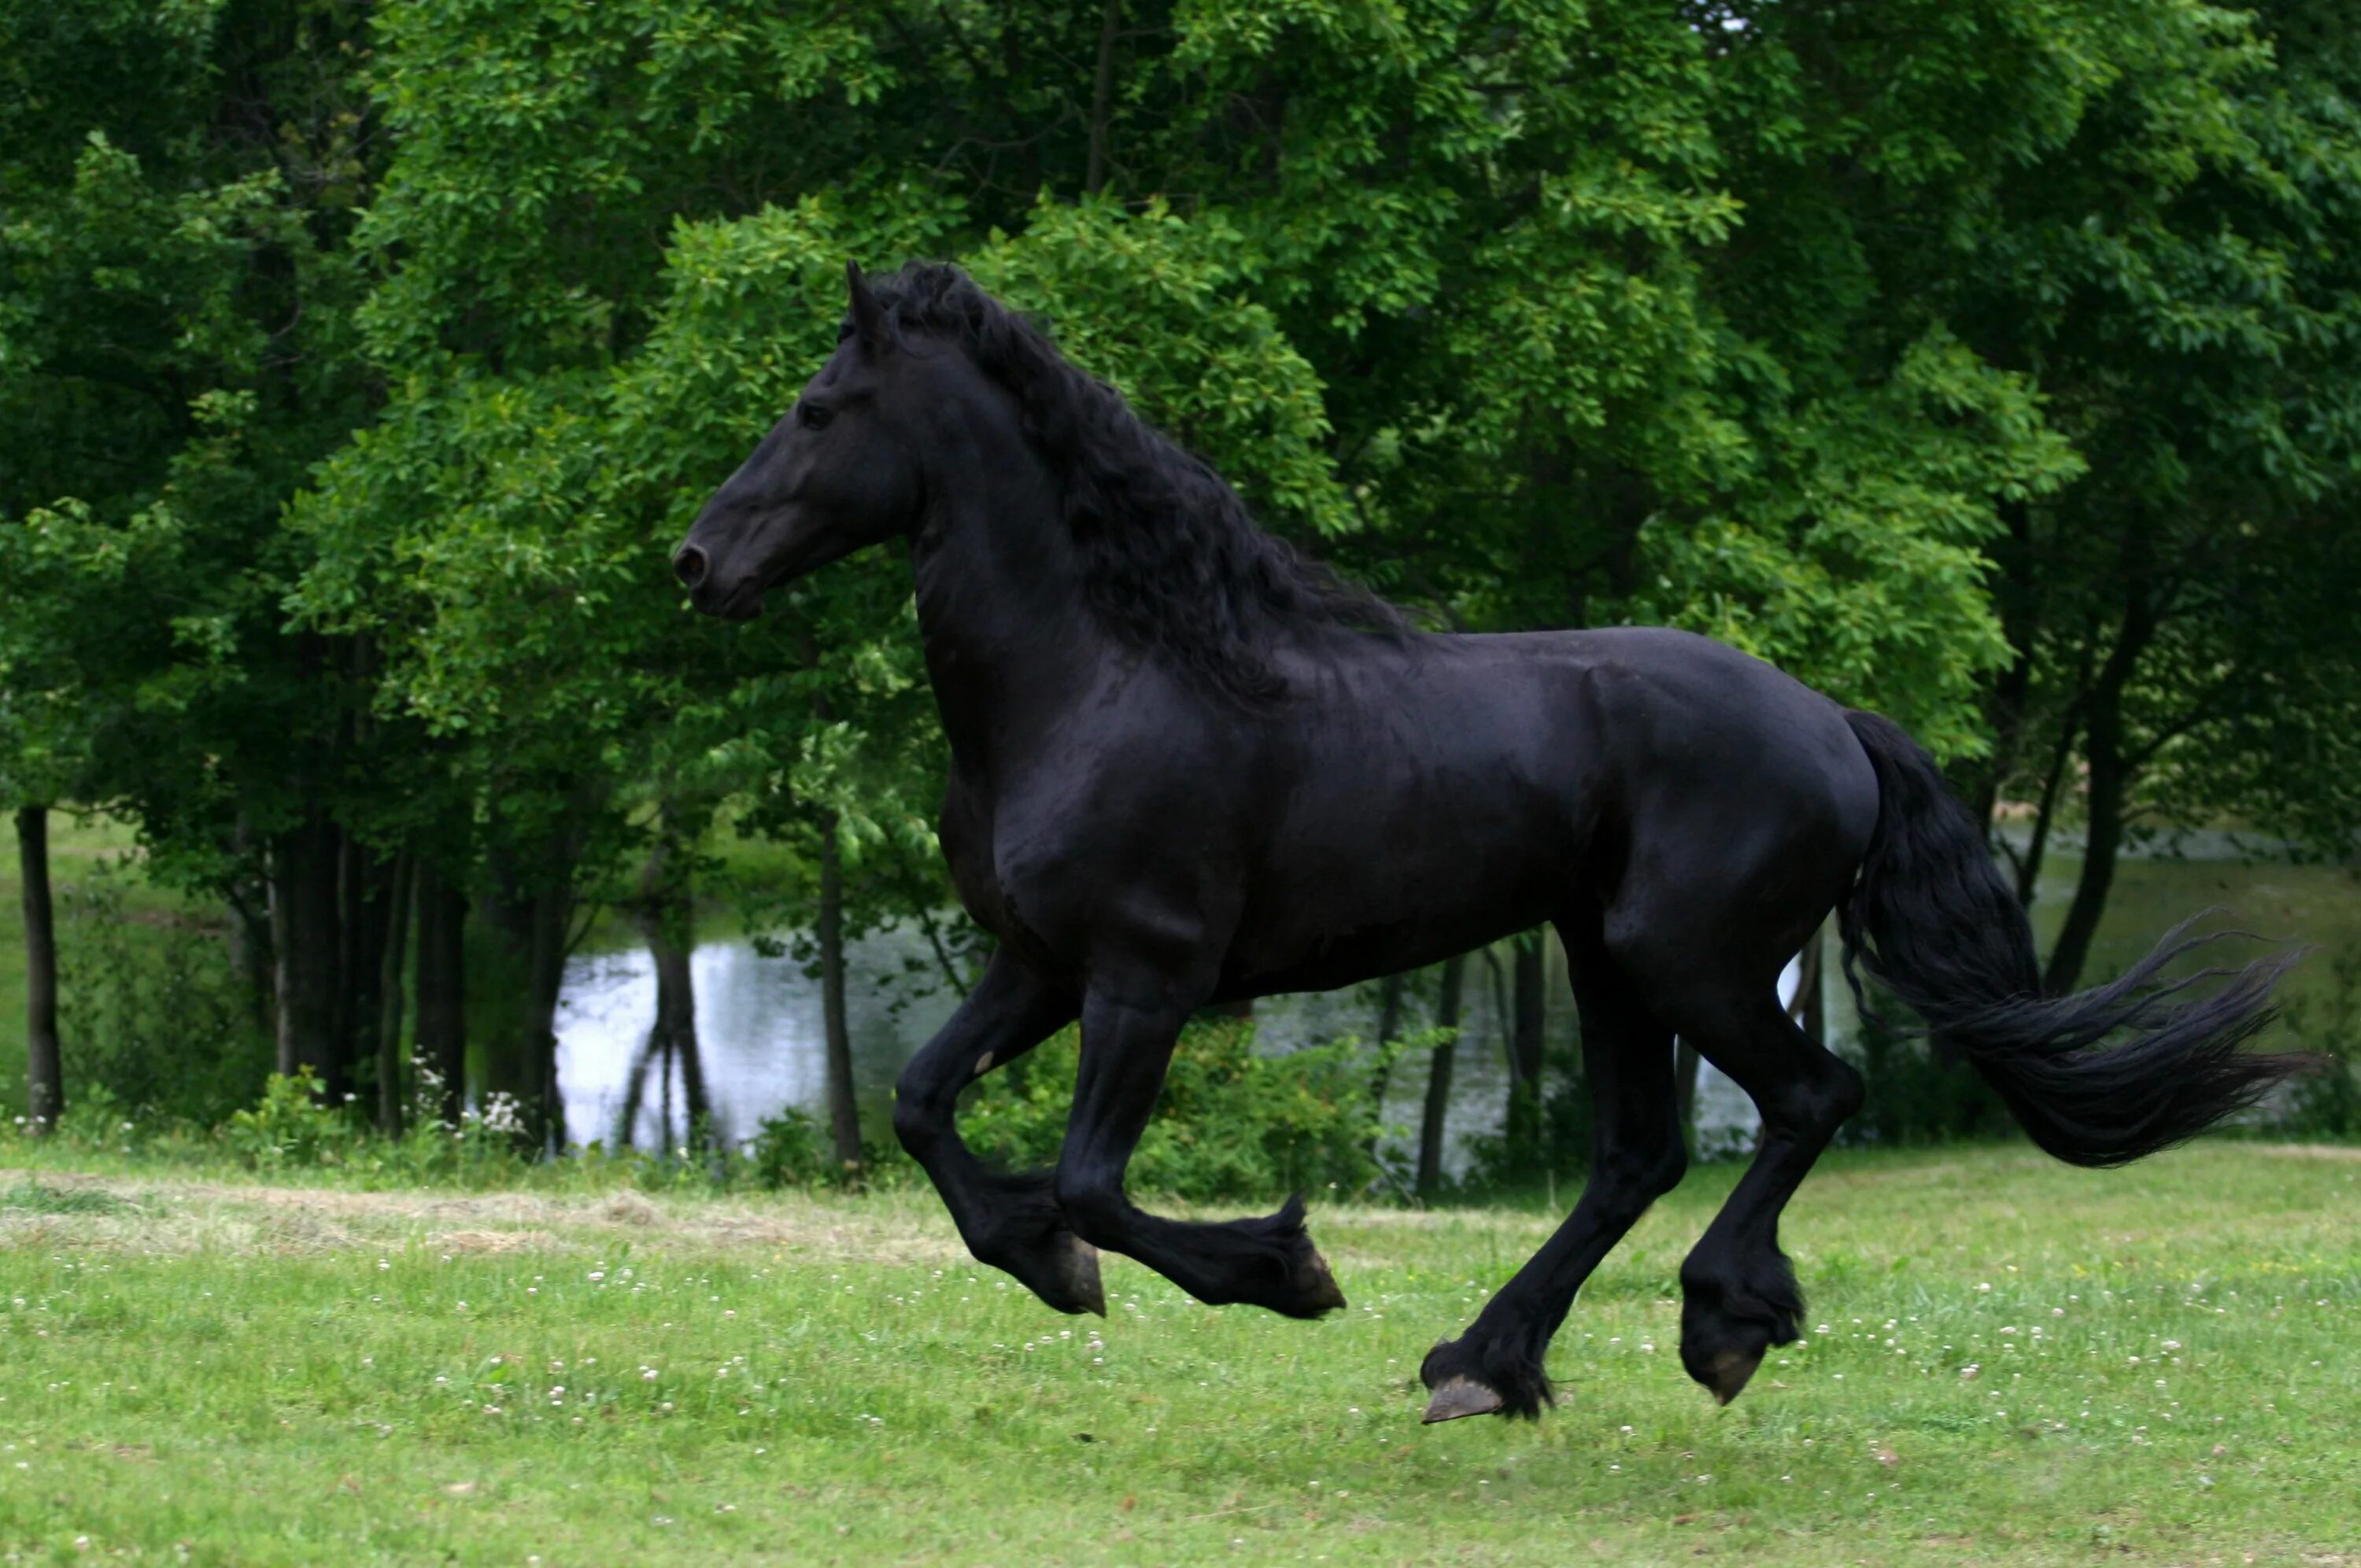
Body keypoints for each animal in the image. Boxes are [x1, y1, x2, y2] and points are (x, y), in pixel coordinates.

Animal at [671, 260, 2304, 1416]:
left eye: (816, 411)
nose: (696, 560)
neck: (1105, 672)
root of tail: (1835, 721)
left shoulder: (1147, 975)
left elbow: (1089, 1180)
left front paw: (1283, 1268)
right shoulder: (1039, 966)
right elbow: (923, 1110)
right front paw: (1049, 1266)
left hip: (1687, 958)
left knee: (1808, 1095)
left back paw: (1721, 1321)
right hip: (1605, 959)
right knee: (1640, 1150)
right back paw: (1486, 1359)